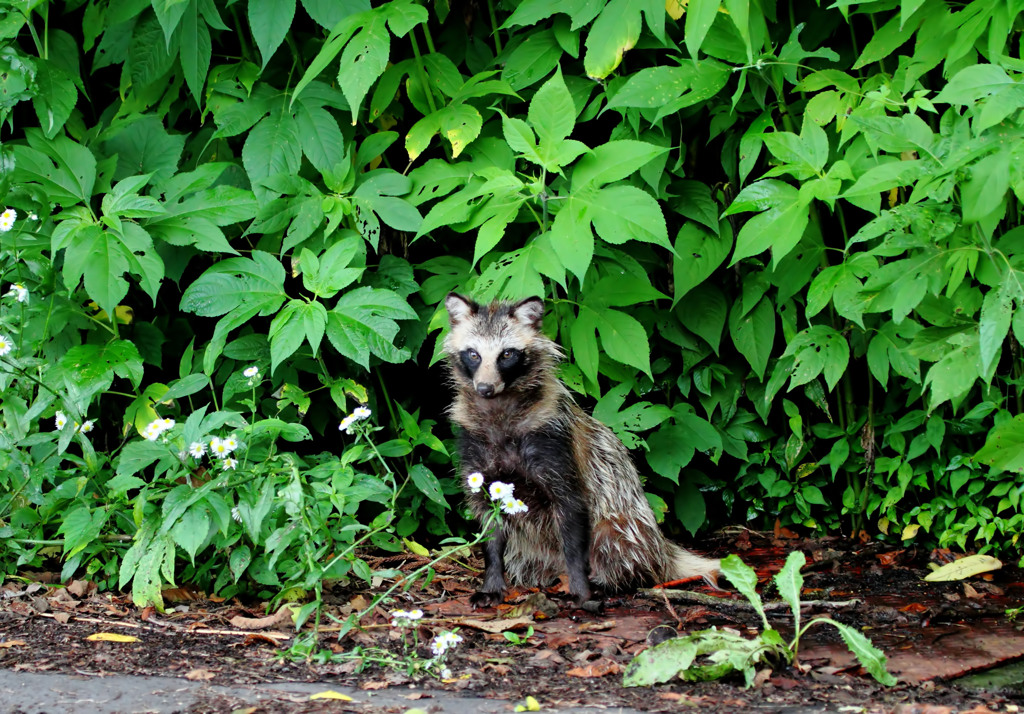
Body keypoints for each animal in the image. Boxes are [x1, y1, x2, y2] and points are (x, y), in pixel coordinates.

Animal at [444, 292, 724, 602]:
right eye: (474, 354)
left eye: (506, 354)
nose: (485, 388)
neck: (498, 411)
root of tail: (663, 548)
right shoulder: (476, 455)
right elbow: (489, 528)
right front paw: (491, 582)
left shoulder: (555, 446)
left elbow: (572, 514)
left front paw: (581, 588)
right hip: (531, 552)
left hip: (626, 526)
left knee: (614, 538)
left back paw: (610, 580)